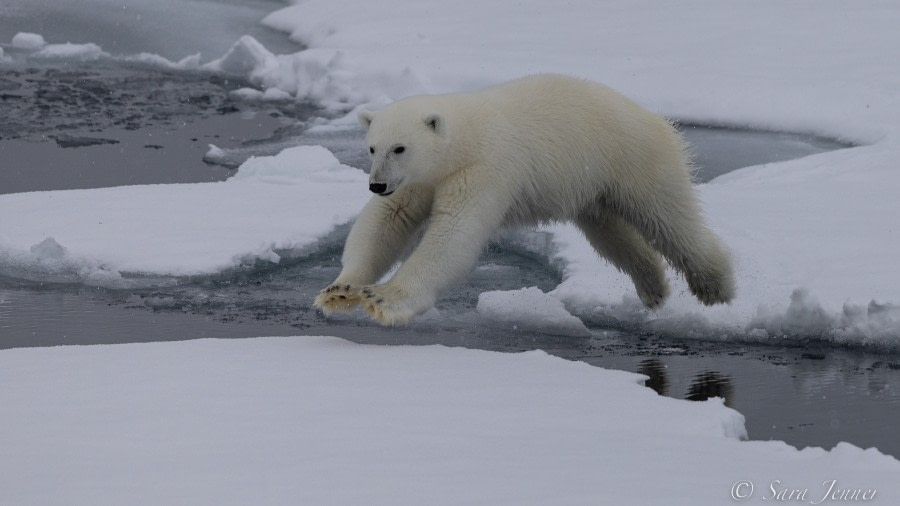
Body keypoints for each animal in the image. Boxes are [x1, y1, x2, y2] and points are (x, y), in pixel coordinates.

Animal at [312, 73, 736, 326]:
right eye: (371, 148)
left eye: (399, 148)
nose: (376, 184)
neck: (464, 138)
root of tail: (654, 117)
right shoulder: (417, 181)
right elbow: (385, 223)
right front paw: (339, 290)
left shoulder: (485, 168)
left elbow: (453, 234)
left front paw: (383, 299)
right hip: (593, 187)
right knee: (612, 235)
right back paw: (654, 288)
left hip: (632, 157)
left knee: (667, 218)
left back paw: (716, 287)